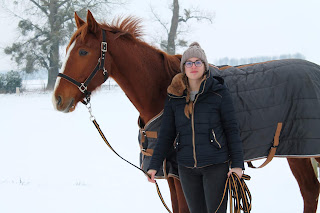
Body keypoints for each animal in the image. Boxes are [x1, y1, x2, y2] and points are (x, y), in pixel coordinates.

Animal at [52, 10, 320, 213]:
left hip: (302, 151)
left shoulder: (181, 173)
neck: (162, 90)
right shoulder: (171, 173)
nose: (58, 99)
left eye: (83, 51)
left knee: (309, 192)